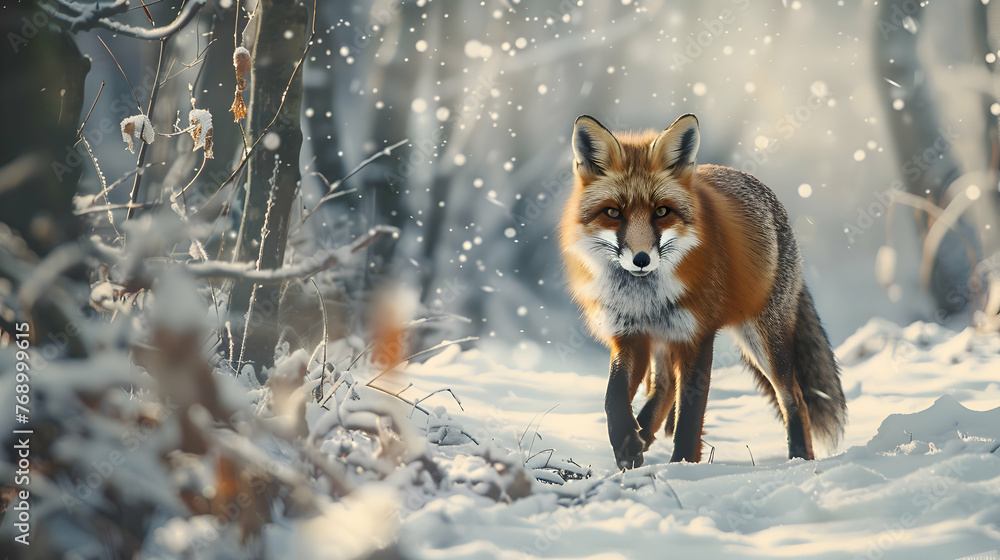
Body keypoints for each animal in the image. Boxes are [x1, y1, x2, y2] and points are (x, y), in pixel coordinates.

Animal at [559, 114, 847, 469]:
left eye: (662, 212)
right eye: (613, 213)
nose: (641, 260)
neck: (645, 300)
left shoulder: (697, 335)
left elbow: (690, 415)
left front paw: (682, 465)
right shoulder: (630, 335)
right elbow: (612, 398)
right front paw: (627, 444)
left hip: (762, 340)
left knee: (794, 399)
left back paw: (798, 459)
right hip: (667, 339)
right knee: (664, 388)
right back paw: (643, 434)